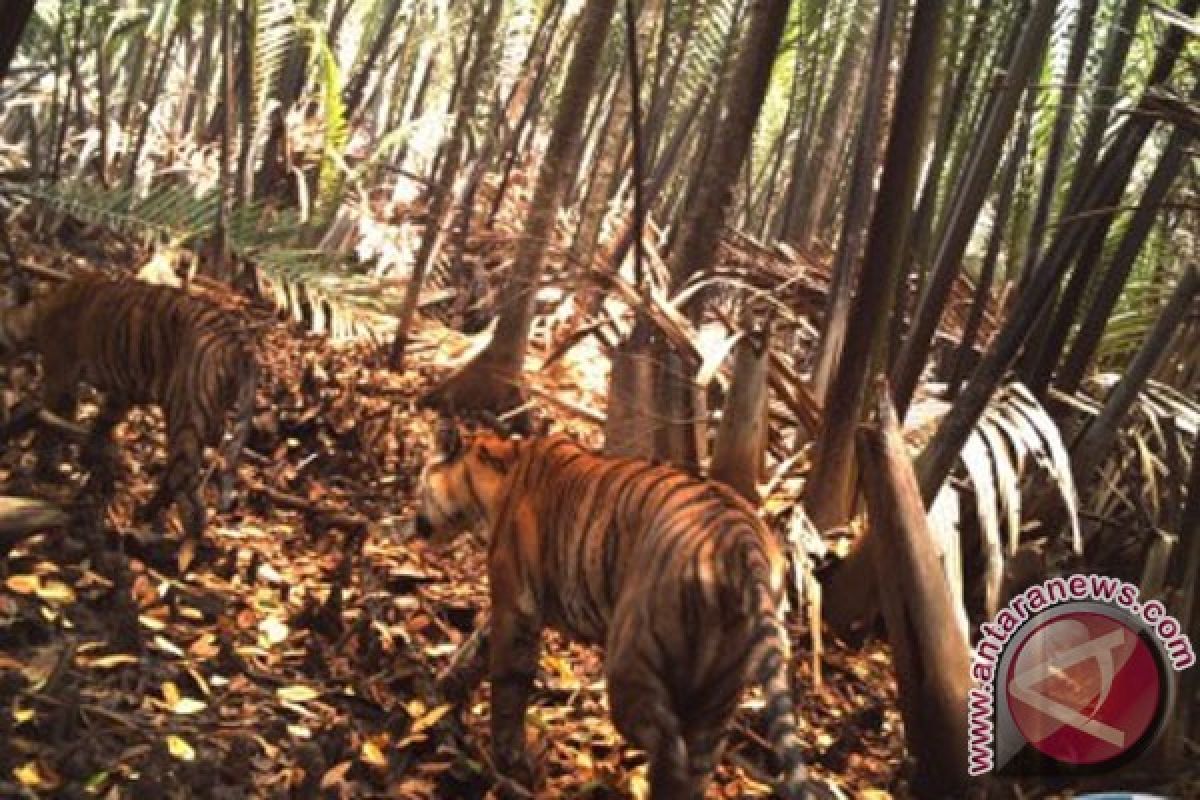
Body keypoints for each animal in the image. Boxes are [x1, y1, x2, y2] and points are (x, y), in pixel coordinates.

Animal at [0, 273, 258, 537]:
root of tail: (242, 347)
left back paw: (154, 526)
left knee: (188, 494)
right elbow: (102, 422)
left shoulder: (60, 377)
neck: (36, 313)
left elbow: (51, 426)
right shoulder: (123, 392)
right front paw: (87, 455)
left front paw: (44, 471)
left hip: (186, 417)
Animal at [415, 422, 825, 796]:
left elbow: (507, 685)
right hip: (720, 687)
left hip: (633, 658)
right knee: (698, 762)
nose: (412, 522)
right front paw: (445, 689)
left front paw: (510, 761)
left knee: (669, 748)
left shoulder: (516, 606)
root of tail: (744, 543)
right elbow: (476, 647)